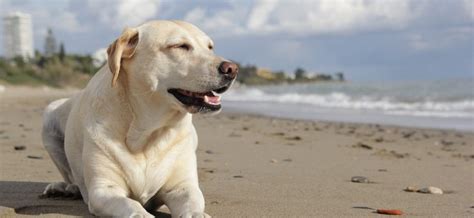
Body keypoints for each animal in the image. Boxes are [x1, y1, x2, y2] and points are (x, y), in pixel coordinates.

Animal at [41, 19, 237, 217]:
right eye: (180, 46)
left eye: (210, 47)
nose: (232, 69)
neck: (147, 133)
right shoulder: (103, 190)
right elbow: (130, 204)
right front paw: (141, 213)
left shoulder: (182, 186)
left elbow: (193, 202)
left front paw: (198, 213)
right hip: (49, 115)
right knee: (71, 177)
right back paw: (65, 188)